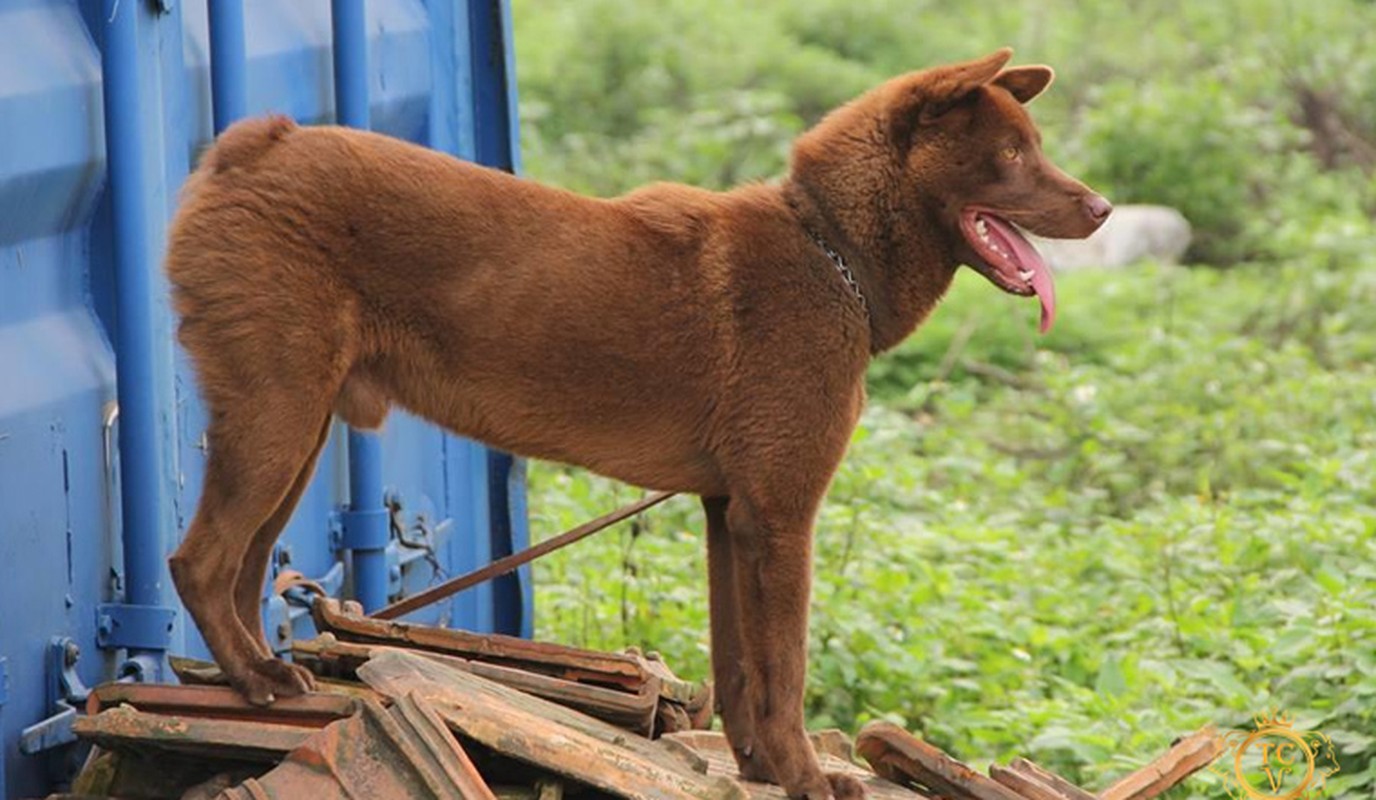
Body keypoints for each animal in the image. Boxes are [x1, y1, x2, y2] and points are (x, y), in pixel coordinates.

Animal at [163, 48, 1106, 793]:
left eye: (1036, 149)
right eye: (1012, 155)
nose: (1099, 208)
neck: (830, 251)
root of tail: (258, 145)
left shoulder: (731, 515)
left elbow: (740, 669)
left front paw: (762, 768)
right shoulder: (782, 518)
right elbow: (787, 669)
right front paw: (807, 776)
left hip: (295, 431)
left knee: (243, 570)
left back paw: (255, 677)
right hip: (277, 418)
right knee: (198, 562)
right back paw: (257, 681)